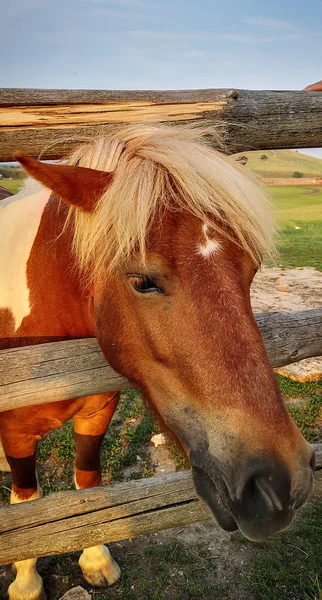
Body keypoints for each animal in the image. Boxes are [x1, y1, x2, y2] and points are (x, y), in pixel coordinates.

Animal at [0, 124, 314, 600]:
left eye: (253, 268)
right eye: (141, 280)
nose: (279, 484)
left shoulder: (97, 413)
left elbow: (88, 484)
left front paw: (96, 560)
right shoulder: (16, 435)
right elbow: (26, 502)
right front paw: (26, 581)